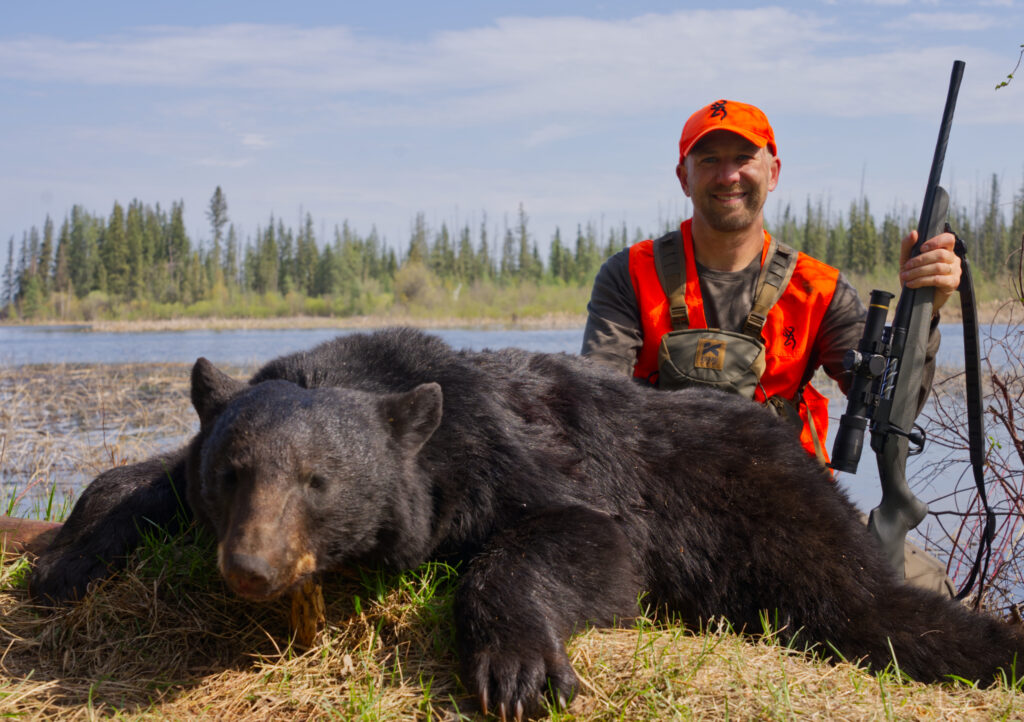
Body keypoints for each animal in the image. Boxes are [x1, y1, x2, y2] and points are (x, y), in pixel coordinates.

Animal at [30, 327, 1024, 720]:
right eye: (234, 474)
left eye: (318, 481)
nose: (252, 567)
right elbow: (139, 484)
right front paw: (64, 559)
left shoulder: (497, 453)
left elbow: (583, 542)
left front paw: (516, 669)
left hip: (766, 509)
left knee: (864, 604)